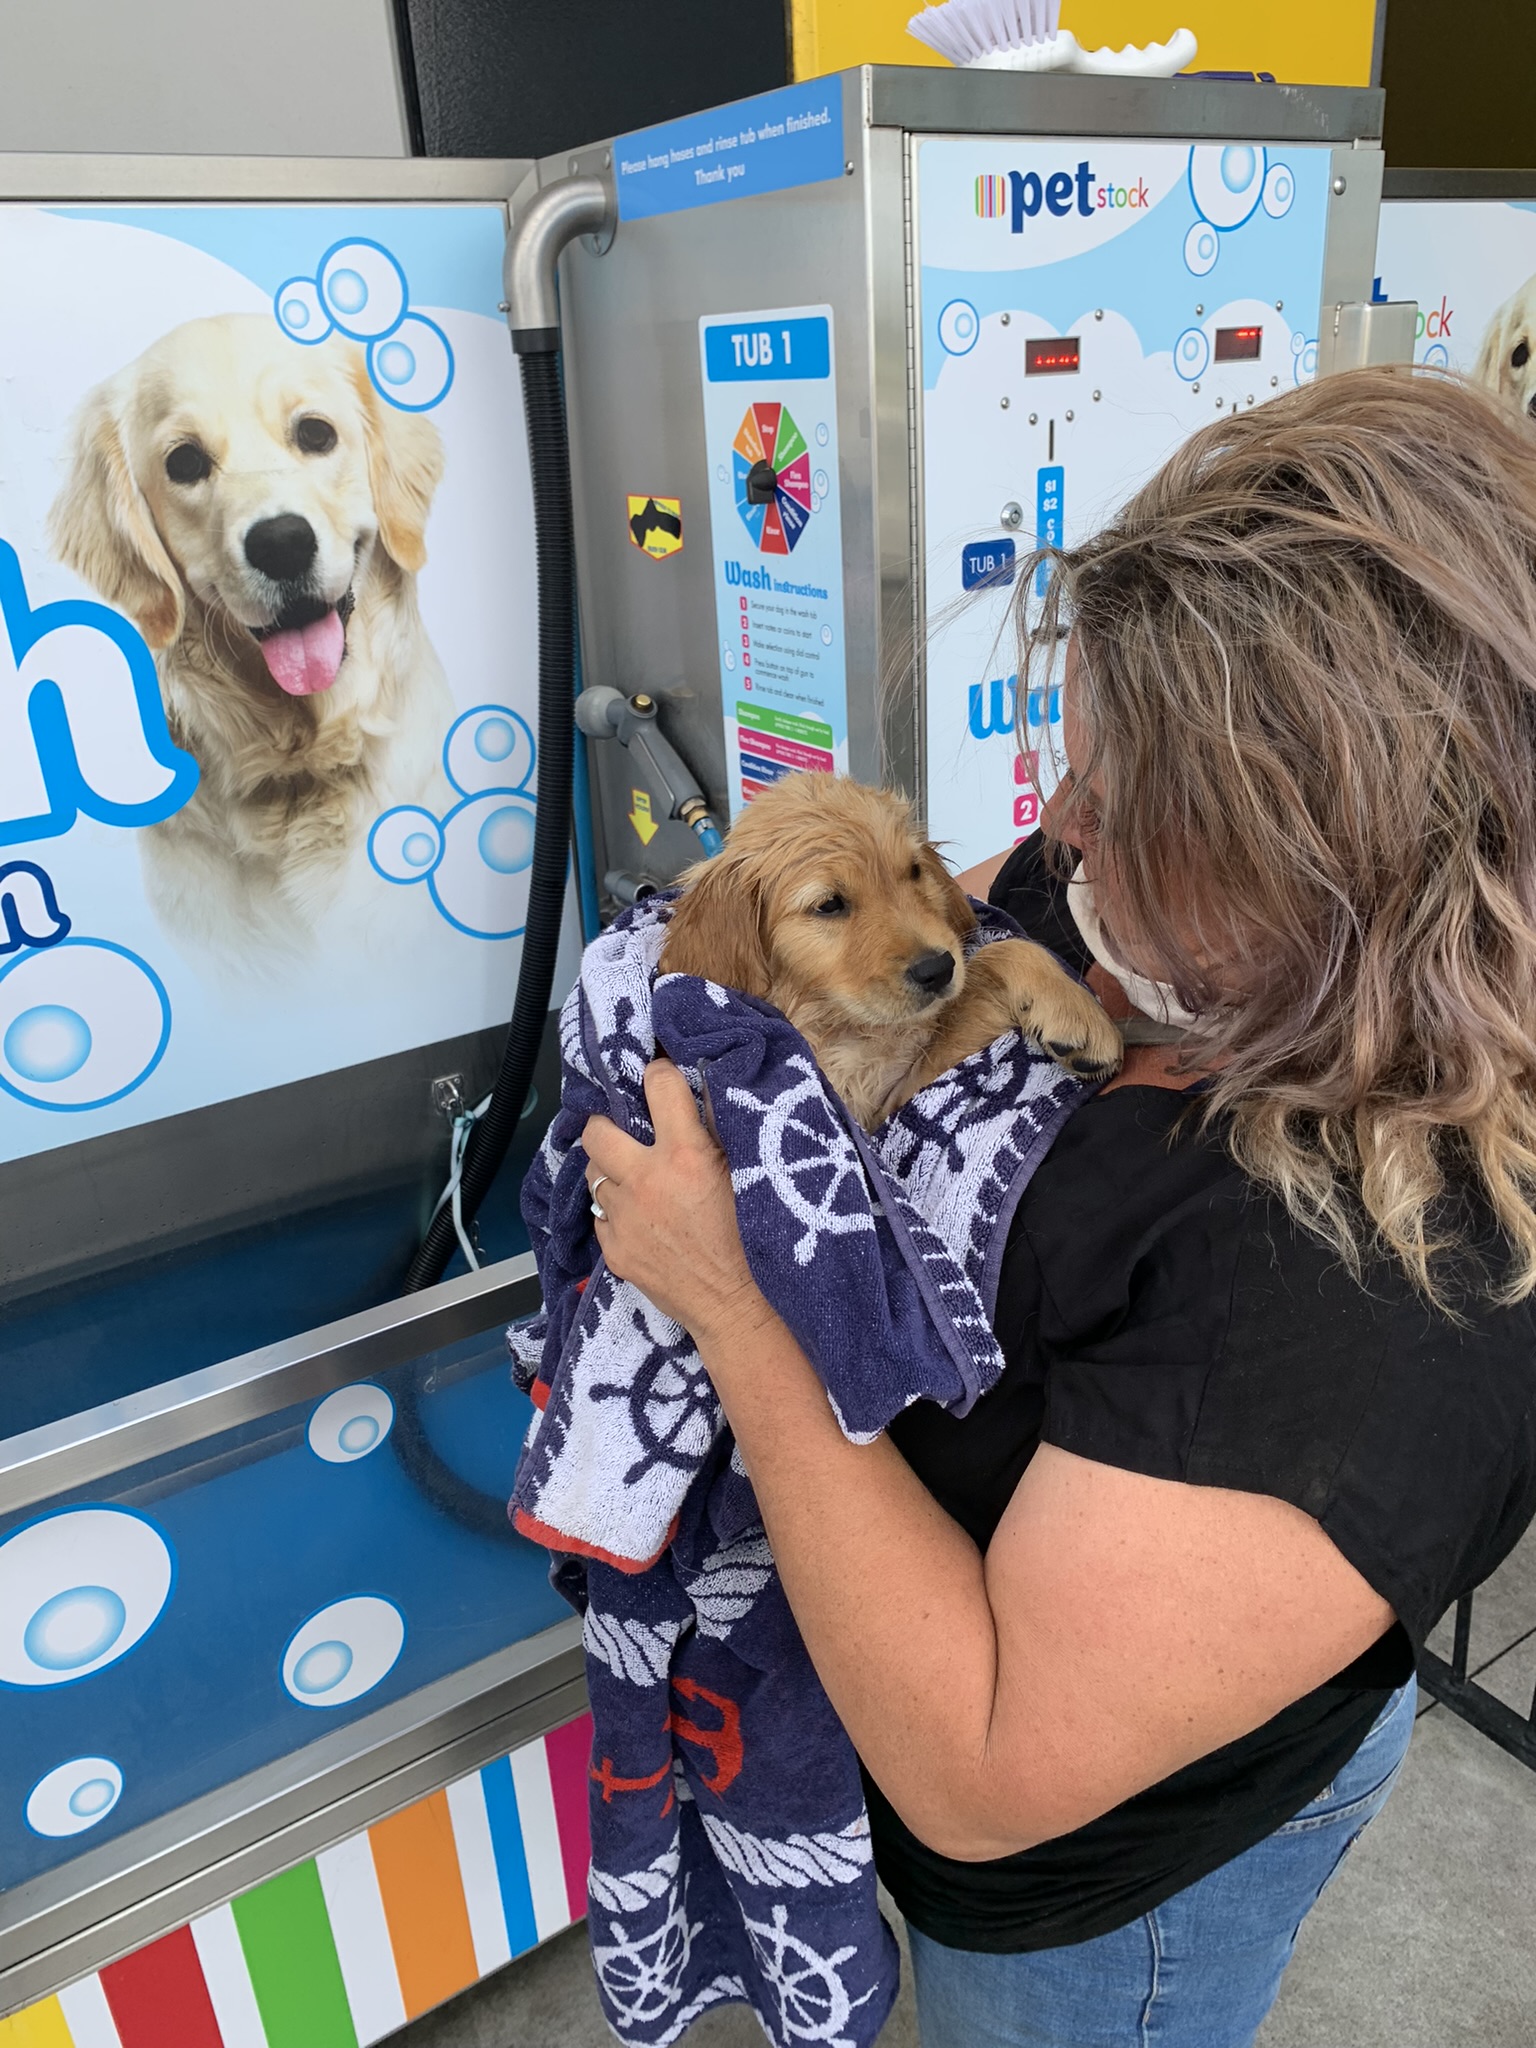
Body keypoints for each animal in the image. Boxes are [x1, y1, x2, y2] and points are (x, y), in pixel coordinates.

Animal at [659, 770, 1122, 1130]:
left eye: (914, 871)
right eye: (828, 905)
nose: (938, 969)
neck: (839, 1020)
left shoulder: (897, 1092)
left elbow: (1001, 954)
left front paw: (1075, 1011)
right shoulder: (865, 1115)